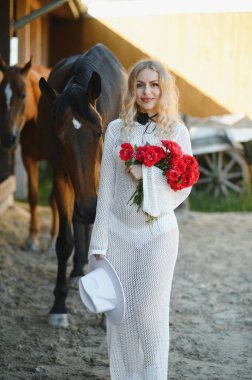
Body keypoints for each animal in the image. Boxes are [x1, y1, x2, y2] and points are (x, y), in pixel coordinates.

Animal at [0, 59, 57, 251]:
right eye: (0, 94)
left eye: (23, 95)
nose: (8, 138)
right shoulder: (28, 158)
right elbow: (33, 197)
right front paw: (33, 238)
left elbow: (54, 198)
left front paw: (54, 238)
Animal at [38, 43, 126, 326]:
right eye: (58, 137)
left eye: (99, 132)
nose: (88, 208)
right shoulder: (61, 177)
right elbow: (65, 240)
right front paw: (59, 305)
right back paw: (77, 270)